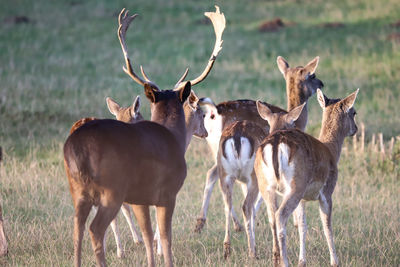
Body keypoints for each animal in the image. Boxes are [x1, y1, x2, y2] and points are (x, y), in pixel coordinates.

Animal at [64, 6, 223, 267]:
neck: (174, 137)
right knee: (95, 229)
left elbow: (148, 235)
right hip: (112, 189)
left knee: (77, 229)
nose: (206, 132)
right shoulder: (168, 192)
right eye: (201, 113)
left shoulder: (140, 197)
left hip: (77, 189)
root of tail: (77, 148)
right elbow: (165, 238)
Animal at [195, 56, 324, 232]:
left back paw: (203, 223)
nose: (321, 84)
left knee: (213, 176)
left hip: (218, 151)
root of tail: (213, 111)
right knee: (214, 175)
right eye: (312, 75)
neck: (297, 121)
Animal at [217, 102, 304, 260]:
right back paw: (253, 252)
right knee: (246, 206)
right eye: (293, 123)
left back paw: (227, 250)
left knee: (228, 205)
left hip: (224, 173)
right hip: (254, 177)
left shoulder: (243, 182)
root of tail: (237, 136)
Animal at [255, 89, 360, 266]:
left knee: (271, 217)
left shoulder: (303, 199)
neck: (331, 151)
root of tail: (275, 144)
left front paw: (302, 260)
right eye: (353, 112)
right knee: (280, 215)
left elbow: (302, 226)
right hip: (296, 184)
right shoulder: (327, 192)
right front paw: (334, 261)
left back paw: (276, 258)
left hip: (265, 185)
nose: (356, 129)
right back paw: (285, 262)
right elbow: (327, 225)